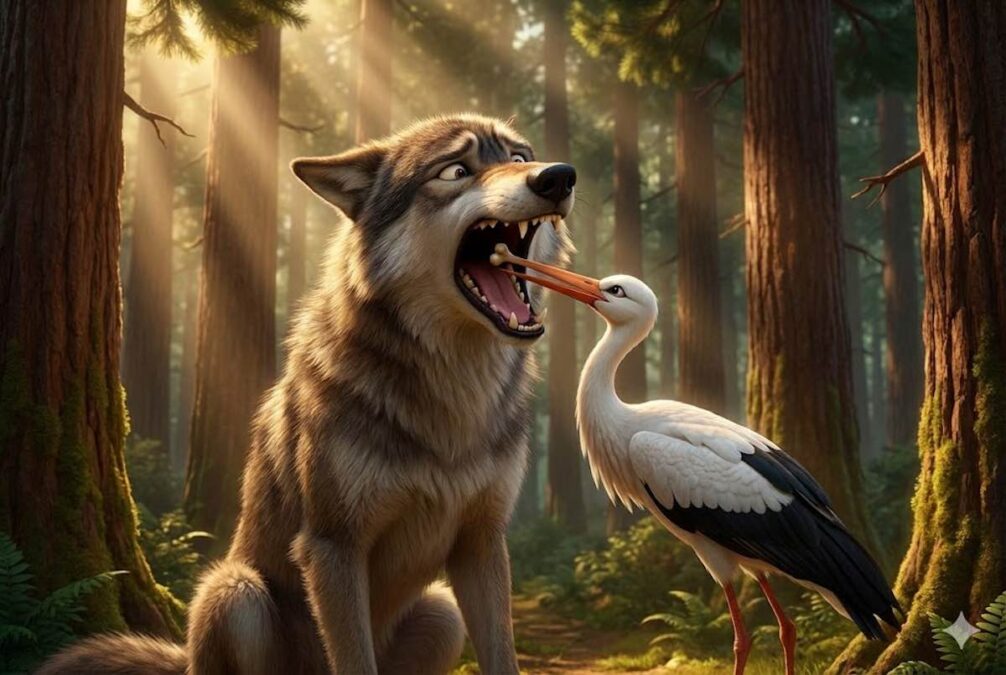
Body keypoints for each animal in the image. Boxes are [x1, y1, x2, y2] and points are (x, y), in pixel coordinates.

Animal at [40, 114, 576, 674]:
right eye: (455, 170)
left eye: (519, 157)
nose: (559, 176)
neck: (455, 388)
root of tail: (183, 661)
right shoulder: (332, 543)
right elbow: (354, 659)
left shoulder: (482, 541)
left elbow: (503, 656)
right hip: (236, 592)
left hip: (442, 614)